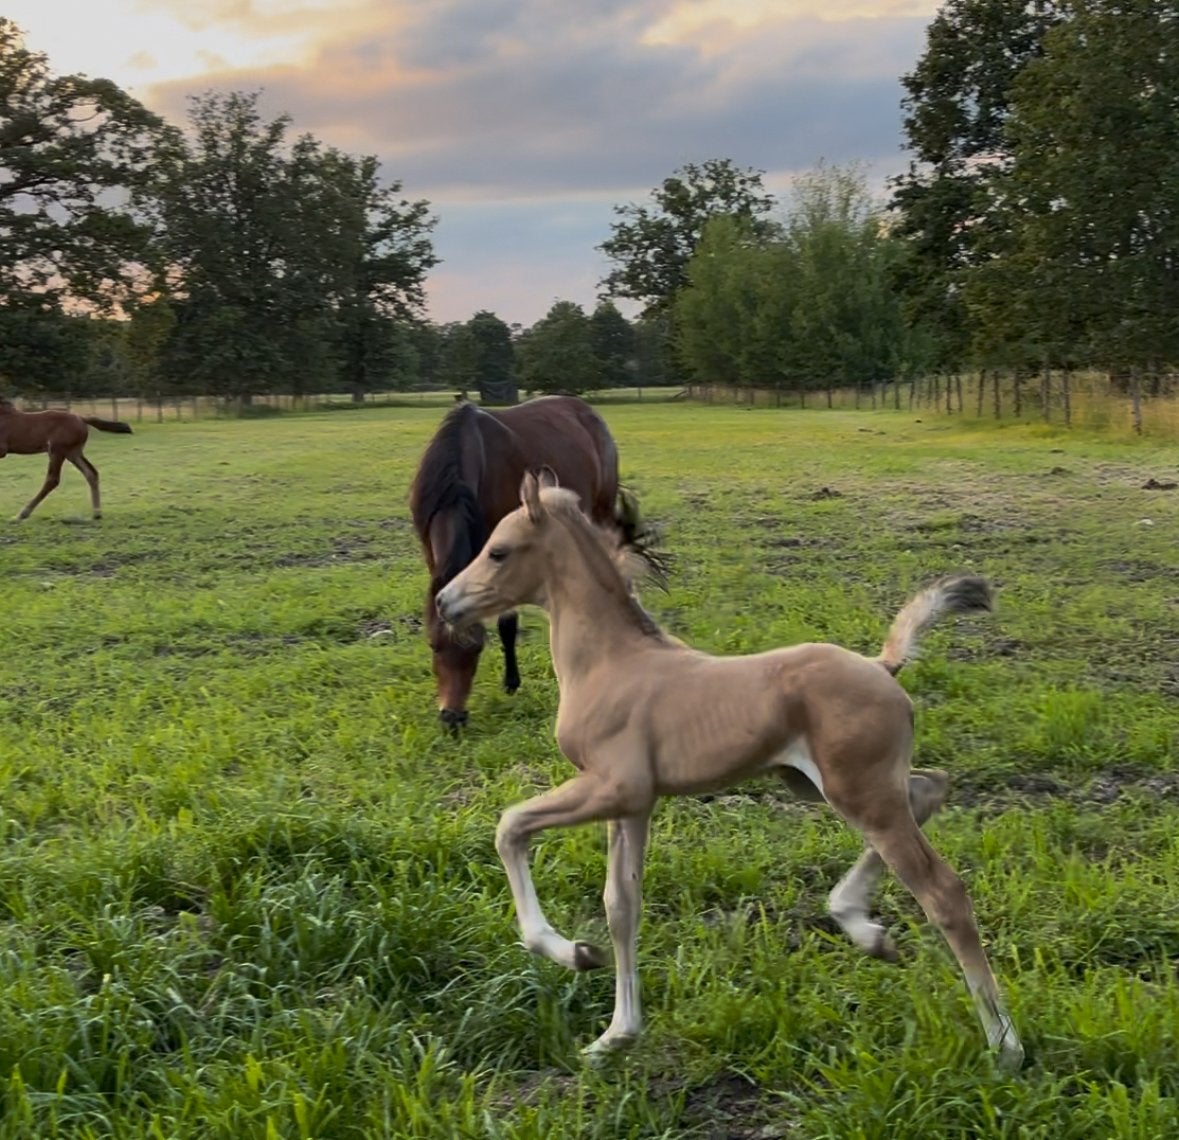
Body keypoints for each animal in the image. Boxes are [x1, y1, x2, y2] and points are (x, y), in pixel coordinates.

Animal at [0, 396, 133, 520]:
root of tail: (81, 418)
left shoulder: (2, 450)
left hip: (57, 450)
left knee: (52, 479)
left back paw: (22, 514)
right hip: (73, 453)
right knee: (91, 473)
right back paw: (97, 513)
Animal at [409, 395, 635, 729]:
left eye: (477, 647)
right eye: (432, 645)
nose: (452, 718)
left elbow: (507, 622)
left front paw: (511, 682)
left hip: (601, 506)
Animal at [435, 470, 1025, 1069]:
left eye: (498, 551)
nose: (445, 602)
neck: (609, 663)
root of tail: (883, 666)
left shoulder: (611, 787)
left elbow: (510, 826)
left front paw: (573, 954)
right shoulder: (633, 805)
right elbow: (621, 906)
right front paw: (615, 1034)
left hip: (859, 793)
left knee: (943, 892)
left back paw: (1005, 1044)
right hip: (826, 785)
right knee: (931, 787)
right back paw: (864, 929)